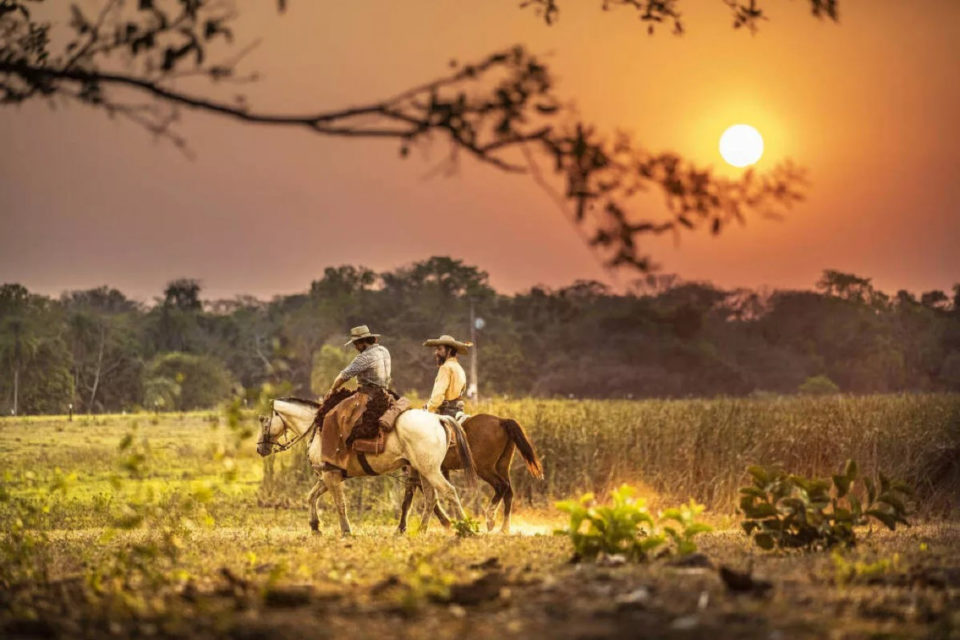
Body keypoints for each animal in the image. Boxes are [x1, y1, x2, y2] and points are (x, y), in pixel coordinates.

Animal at [256, 396, 478, 536]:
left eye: (264, 421)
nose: (260, 448)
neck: (319, 429)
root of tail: (438, 418)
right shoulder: (328, 476)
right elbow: (311, 497)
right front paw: (315, 526)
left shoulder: (331, 476)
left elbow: (340, 504)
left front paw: (346, 531)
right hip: (424, 471)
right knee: (432, 499)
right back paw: (422, 530)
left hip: (431, 471)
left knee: (449, 492)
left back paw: (465, 528)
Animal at [396, 412, 544, 532]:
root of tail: (502, 421)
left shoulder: (422, 471)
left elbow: (412, 498)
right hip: (502, 466)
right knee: (508, 493)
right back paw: (504, 528)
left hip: (484, 468)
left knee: (502, 486)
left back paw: (490, 518)